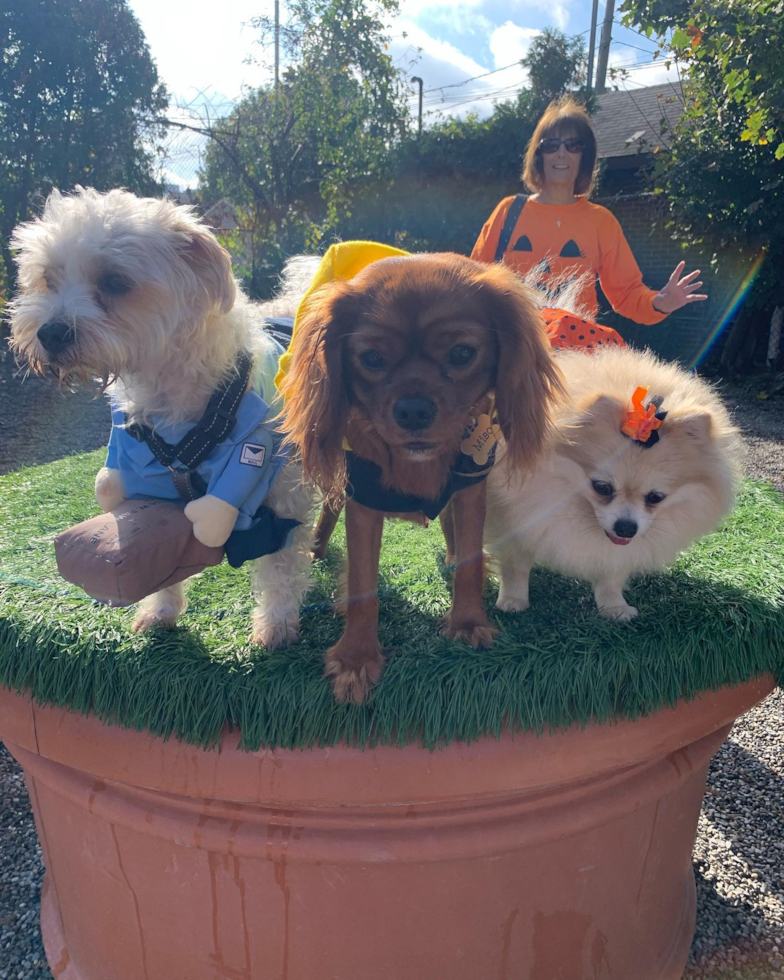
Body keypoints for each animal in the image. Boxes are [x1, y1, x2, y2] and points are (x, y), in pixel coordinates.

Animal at [9, 188, 316, 648]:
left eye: (115, 282)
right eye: (47, 277)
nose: (49, 333)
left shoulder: (279, 495)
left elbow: (279, 565)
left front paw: (276, 625)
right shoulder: (146, 483)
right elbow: (157, 561)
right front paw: (160, 612)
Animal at [486, 344, 744, 620]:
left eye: (656, 497)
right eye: (602, 487)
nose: (626, 528)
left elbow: (611, 572)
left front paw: (613, 607)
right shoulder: (515, 518)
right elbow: (516, 566)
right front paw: (513, 600)